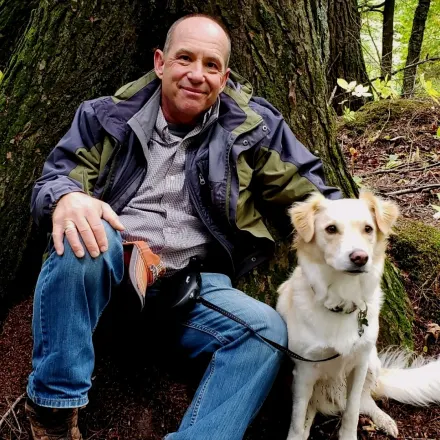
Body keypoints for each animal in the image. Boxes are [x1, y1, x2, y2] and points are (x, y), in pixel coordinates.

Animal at [276, 192, 438, 440]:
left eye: (368, 229)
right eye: (331, 229)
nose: (360, 257)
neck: (341, 300)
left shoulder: (359, 364)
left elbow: (352, 410)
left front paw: (348, 435)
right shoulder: (304, 371)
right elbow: (296, 418)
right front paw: (296, 435)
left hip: (372, 362)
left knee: (365, 400)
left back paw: (384, 420)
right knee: (311, 411)